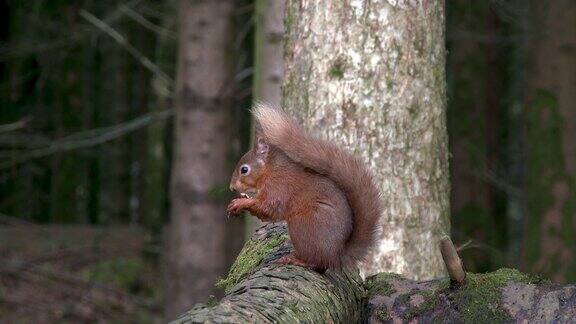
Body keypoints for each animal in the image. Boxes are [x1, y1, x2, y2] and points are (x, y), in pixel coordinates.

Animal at [226, 104, 382, 270]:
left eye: (244, 170)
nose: (232, 188)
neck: (270, 170)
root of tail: (335, 256)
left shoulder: (278, 187)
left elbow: (268, 208)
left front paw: (241, 202)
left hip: (303, 226)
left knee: (316, 261)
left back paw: (296, 259)